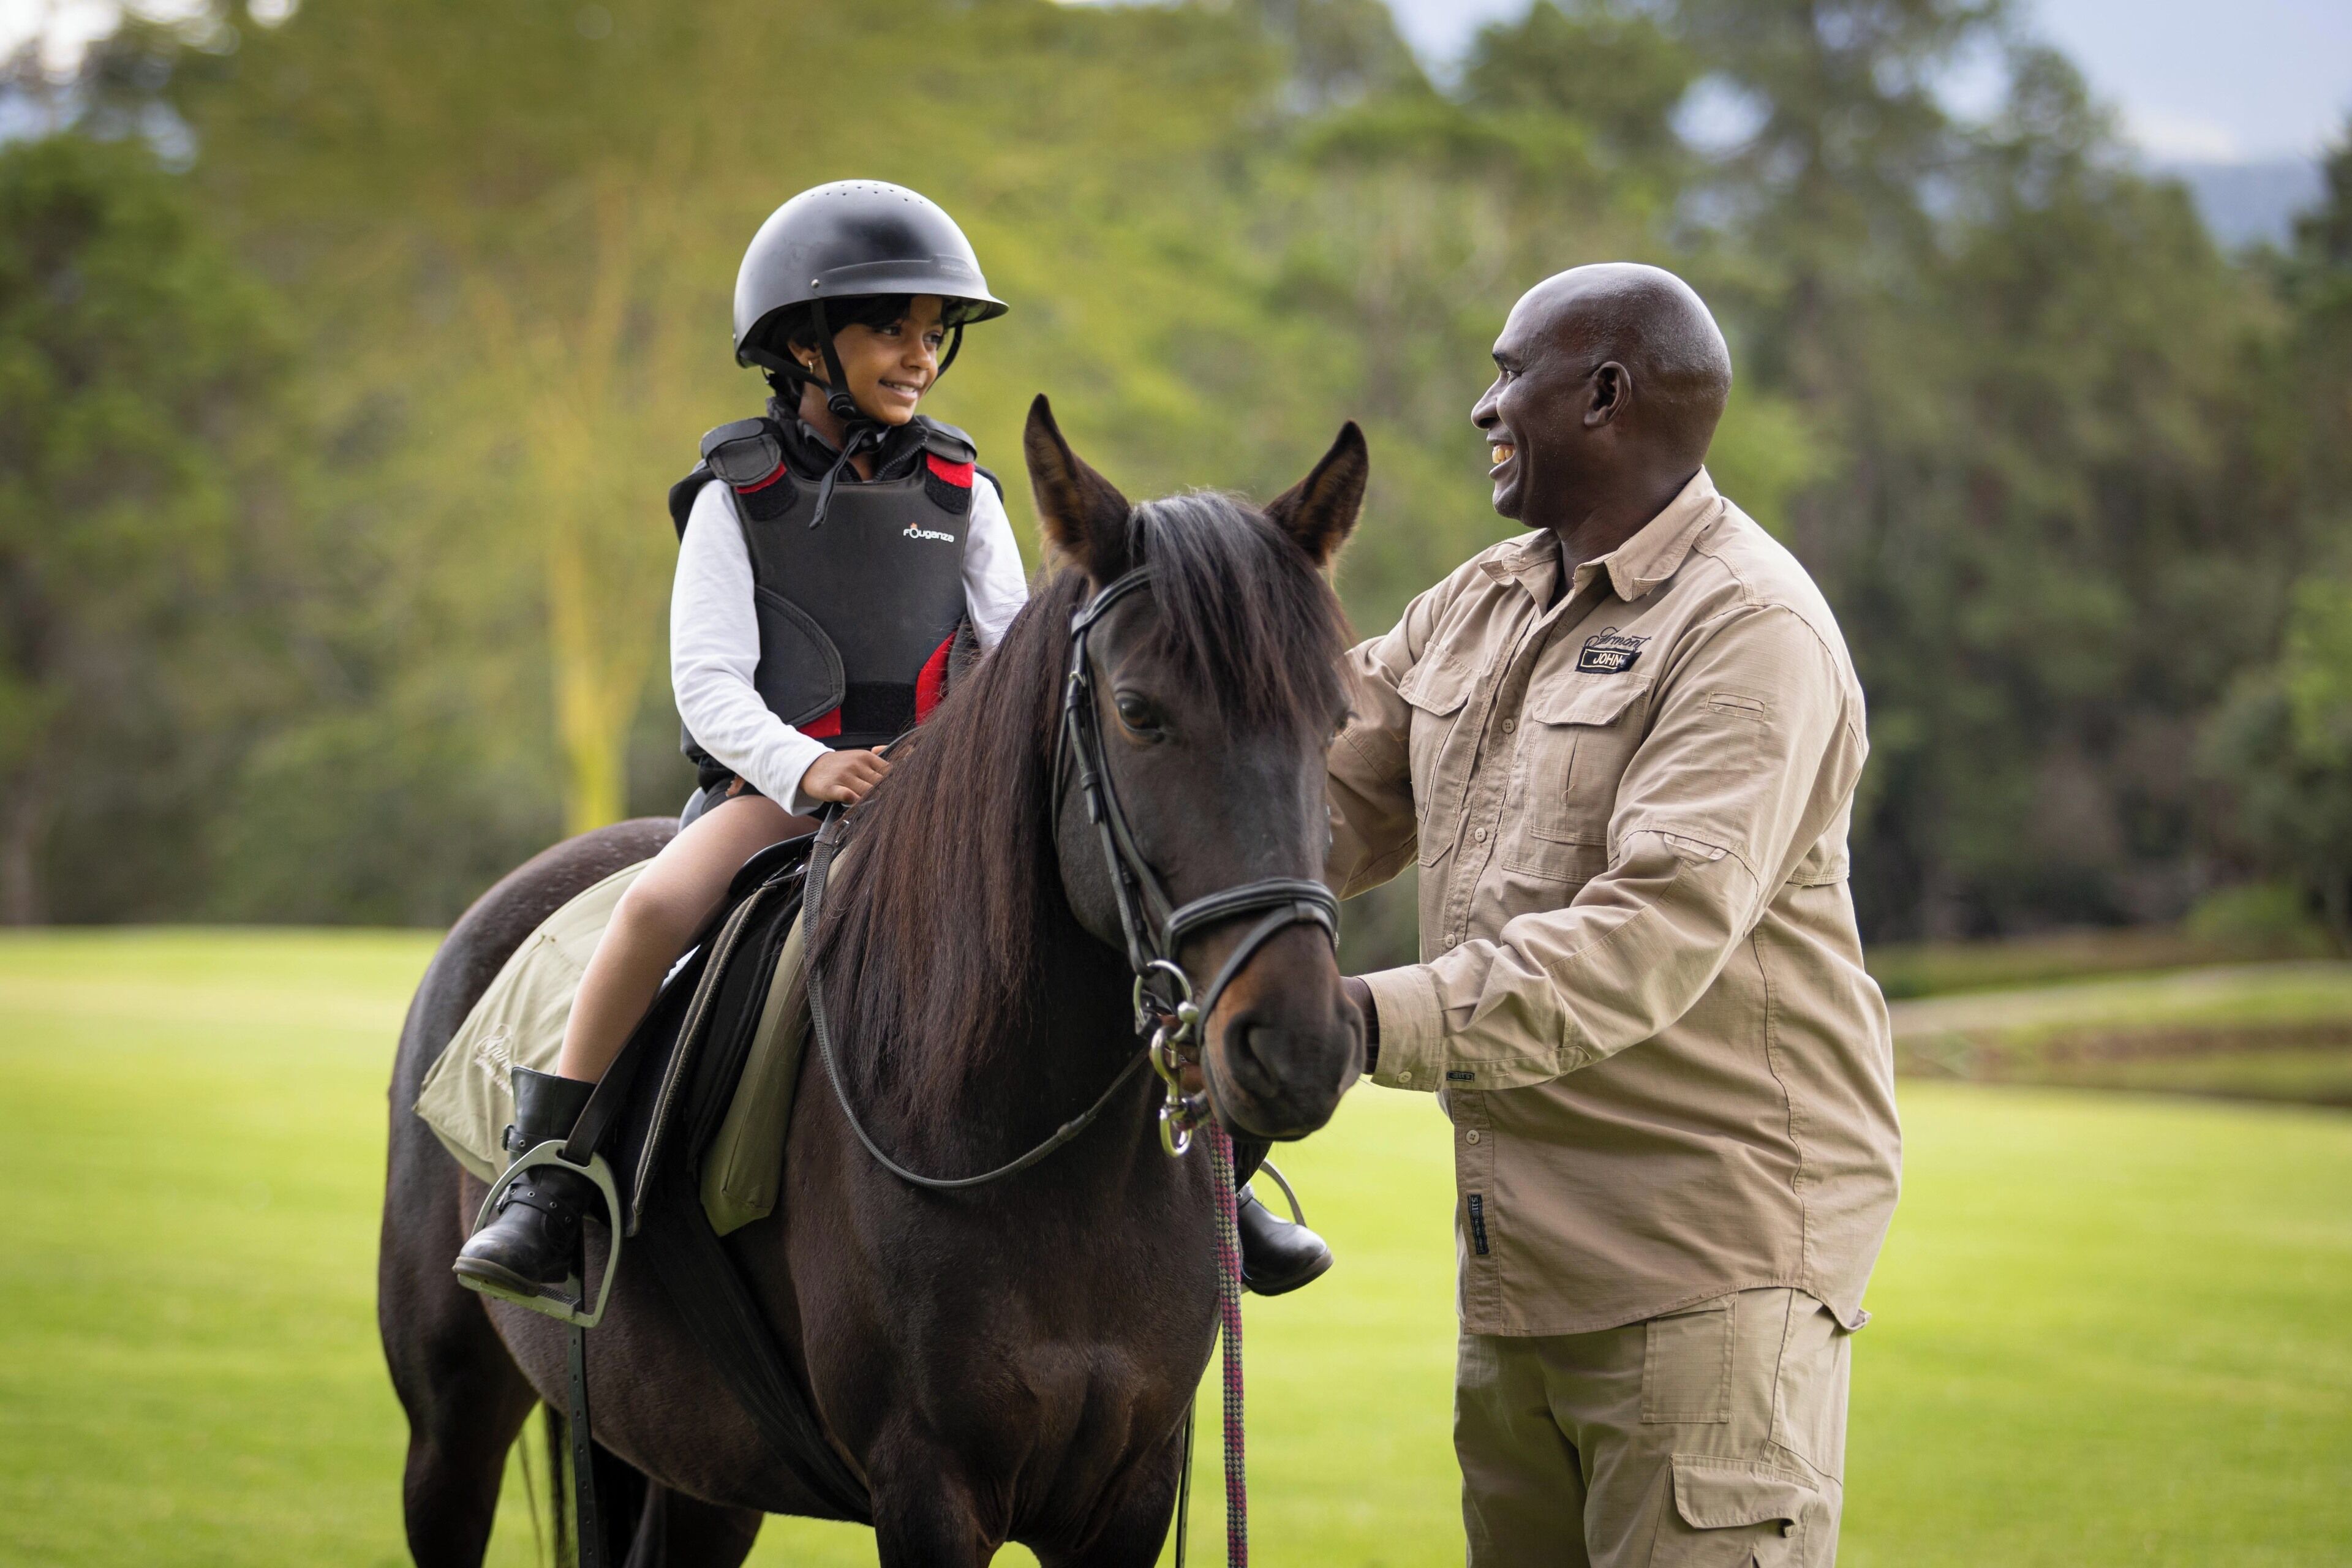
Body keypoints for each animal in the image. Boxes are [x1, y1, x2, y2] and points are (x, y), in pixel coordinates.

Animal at [378, 396, 1371, 1566]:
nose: (1299, 1043)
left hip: (702, 1474)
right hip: (452, 1428)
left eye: (1336, 720)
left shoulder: (1128, 1494)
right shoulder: (929, 1491)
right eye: (1138, 711)